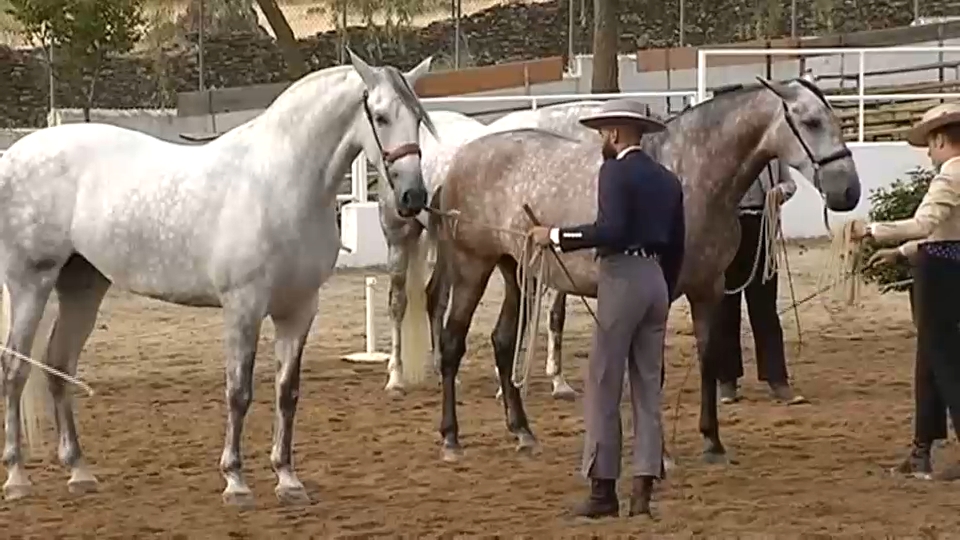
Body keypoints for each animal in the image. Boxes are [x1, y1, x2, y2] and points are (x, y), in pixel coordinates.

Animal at [0, 49, 438, 506]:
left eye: (418, 118)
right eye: (381, 116)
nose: (414, 197)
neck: (280, 182)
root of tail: (13, 156)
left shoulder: (299, 310)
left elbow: (287, 391)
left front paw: (287, 479)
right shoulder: (243, 307)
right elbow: (239, 391)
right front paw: (235, 481)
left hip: (82, 286)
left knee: (57, 364)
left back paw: (79, 471)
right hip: (30, 284)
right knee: (15, 368)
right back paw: (17, 477)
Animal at [422, 77, 860, 462]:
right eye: (811, 121)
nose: (848, 192)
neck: (690, 173)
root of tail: (457, 165)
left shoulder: (708, 288)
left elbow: (708, 359)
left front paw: (712, 441)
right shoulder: (661, 288)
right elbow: (653, 372)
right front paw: (659, 453)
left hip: (517, 272)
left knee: (502, 341)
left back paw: (523, 433)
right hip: (472, 267)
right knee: (452, 343)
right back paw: (450, 439)